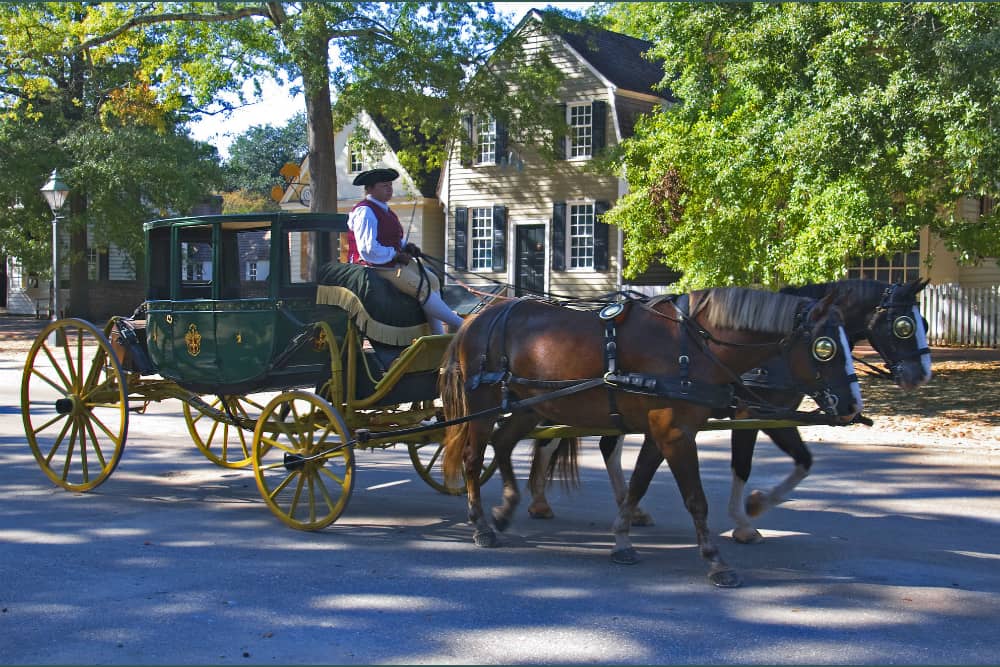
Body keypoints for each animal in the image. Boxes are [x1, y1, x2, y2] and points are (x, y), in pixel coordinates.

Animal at [442, 284, 864, 588]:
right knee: (473, 458)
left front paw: (623, 539)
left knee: (504, 443)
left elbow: (639, 484)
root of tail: (478, 316)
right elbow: (696, 500)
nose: (852, 404)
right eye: (825, 347)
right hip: (484, 405)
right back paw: (481, 524)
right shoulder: (676, 433)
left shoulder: (660, 432)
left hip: (529, 405)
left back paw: (507, 508)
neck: (694, 347)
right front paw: (716, 560)